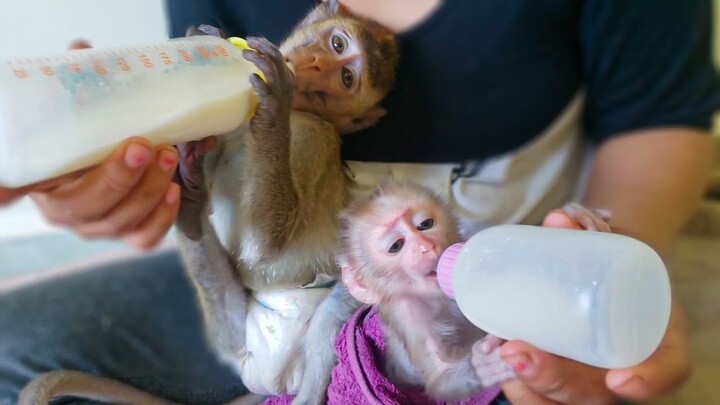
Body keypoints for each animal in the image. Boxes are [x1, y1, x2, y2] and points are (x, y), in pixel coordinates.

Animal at [338, 180, 612, 400]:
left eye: (425, 224)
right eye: (396, 246)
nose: (426, 246)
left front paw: (575, 213)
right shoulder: (408, 313)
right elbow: (441, 379)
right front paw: (485, 365)